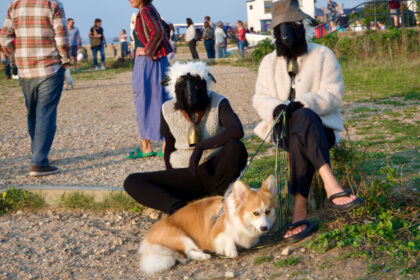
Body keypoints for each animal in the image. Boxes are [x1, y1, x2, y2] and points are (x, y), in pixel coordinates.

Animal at [139, 175, 278, 274]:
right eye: (255, 213)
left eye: (267, 211)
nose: (264, 228)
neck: (241, 218)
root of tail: (148, 239)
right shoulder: (215, 233)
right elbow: (229, 237)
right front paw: (231, 251)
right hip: (180, 236)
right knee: (186, 252)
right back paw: (203, 255)